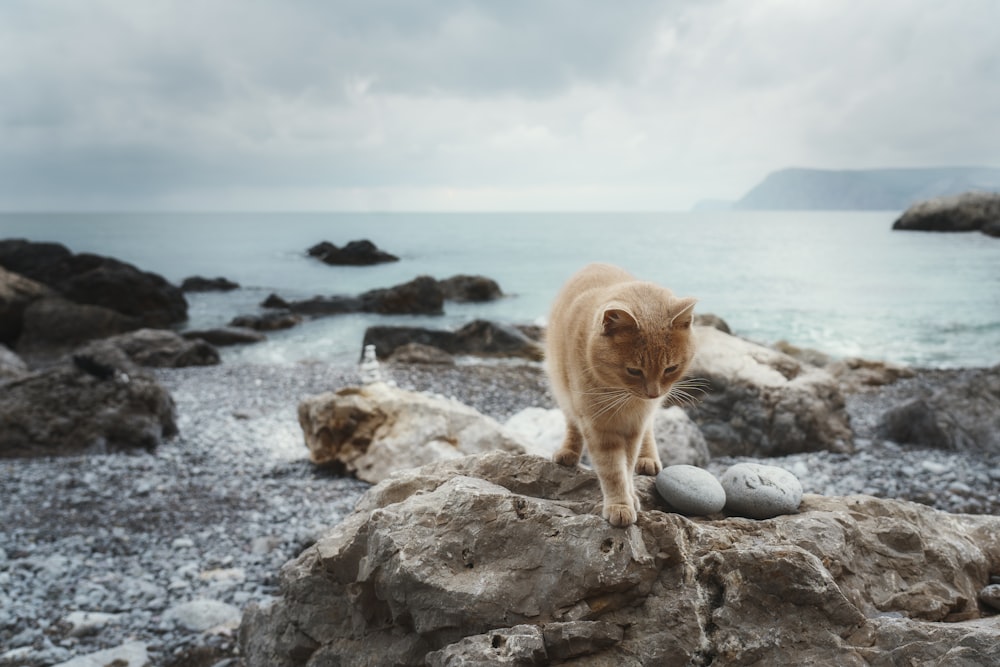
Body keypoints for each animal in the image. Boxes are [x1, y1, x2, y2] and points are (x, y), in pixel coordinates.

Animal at [544, 262, 700, 528]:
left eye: (670, 368)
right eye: (634, 371)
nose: (653, 393)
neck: (624, 399)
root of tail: (595, 263)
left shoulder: (634, 426)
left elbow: (626, 466)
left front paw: (629, 498)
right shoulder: (598, 426)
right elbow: (612, 470)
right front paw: (620, 504)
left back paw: (647, 459)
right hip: (563, 390)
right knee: (572, 423)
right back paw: (569, 452)